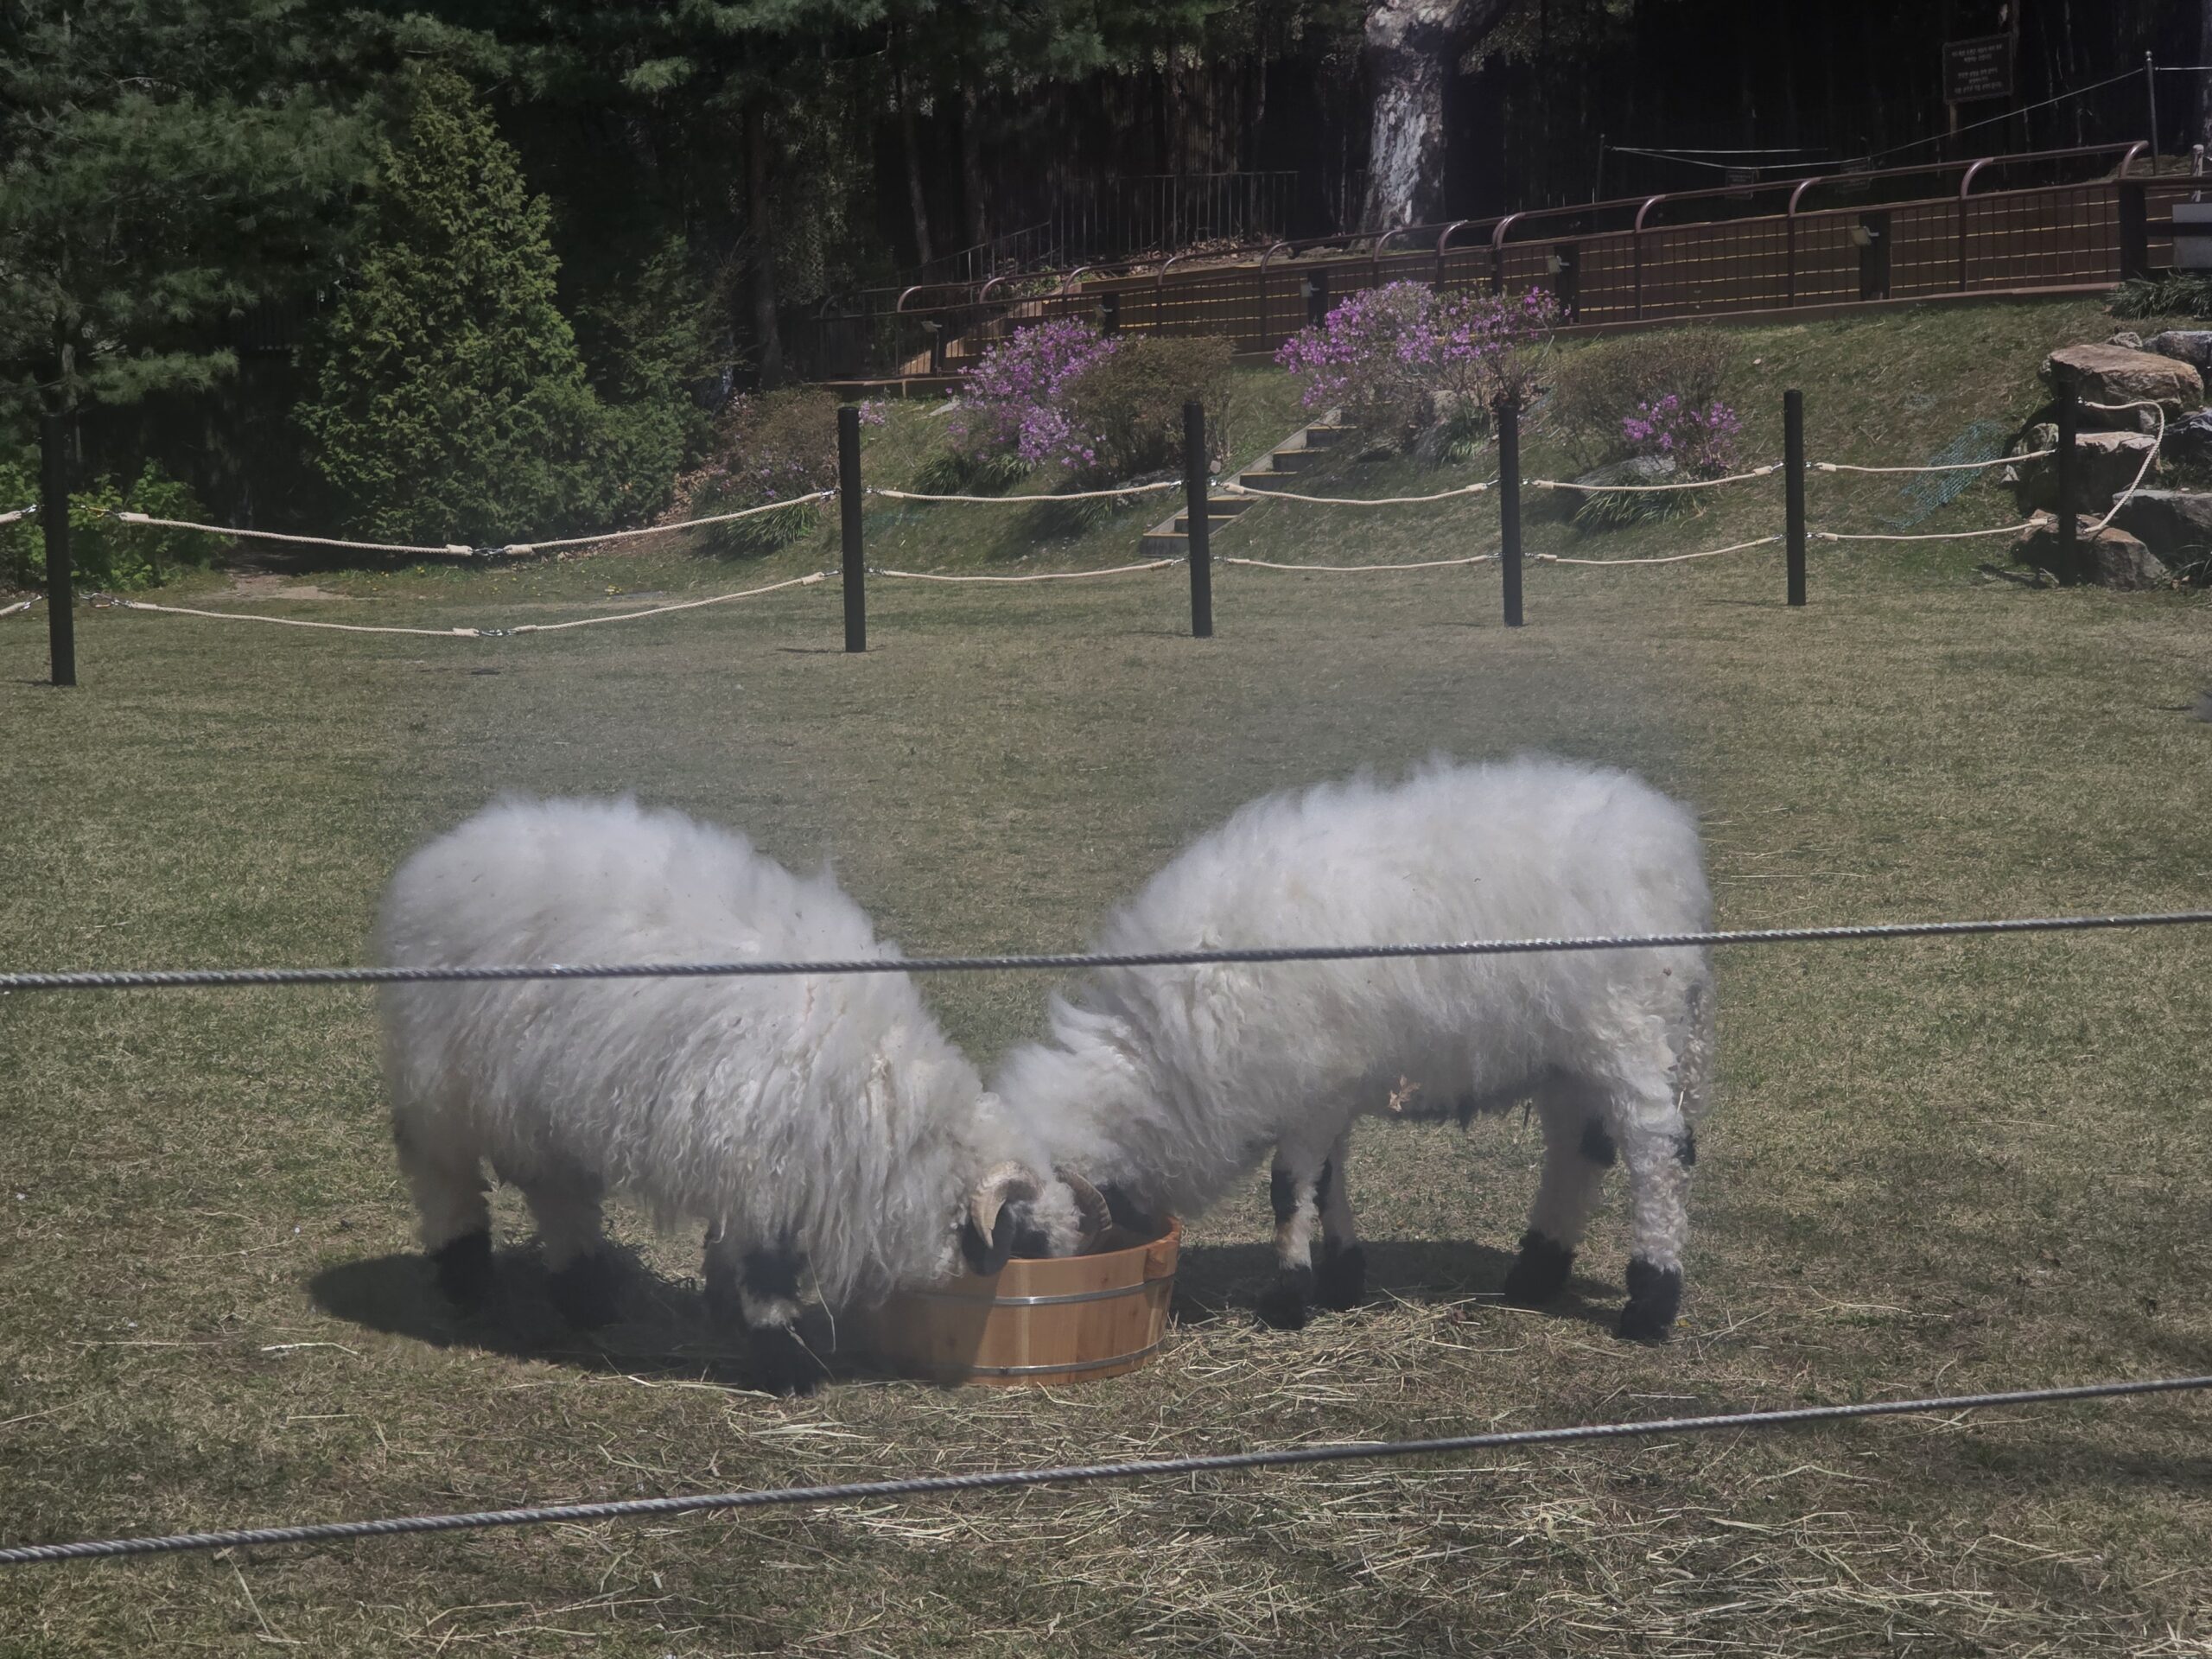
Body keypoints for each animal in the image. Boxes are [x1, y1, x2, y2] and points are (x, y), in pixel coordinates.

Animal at [377, 796, 1104, 1393]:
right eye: (1026, 1243)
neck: (893, 1104)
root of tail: (445, 855)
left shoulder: (750, 1161)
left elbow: (727, 1251)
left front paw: (723, 1309)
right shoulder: (766, 1170)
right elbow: (769, 1273)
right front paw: (784, 1364)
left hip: (544, 1104)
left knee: (557, 1193)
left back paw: (588, 1296)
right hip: (442, 1085)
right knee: (442, 1176)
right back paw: (467, 1279)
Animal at [993, 756, 1715, 1341]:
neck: (1158, 1062)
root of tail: (1666, 843)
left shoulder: (1306, 1087)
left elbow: (1288, 1191)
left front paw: (1287, 1301)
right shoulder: (1324, 1086)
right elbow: (1324, 1182)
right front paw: (1341, 1281)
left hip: (1627, 1030)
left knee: (1658, 1154)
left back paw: (1650, 1303)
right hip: (1569, 1056)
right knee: (1578, 1151)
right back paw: (1535, 1276)